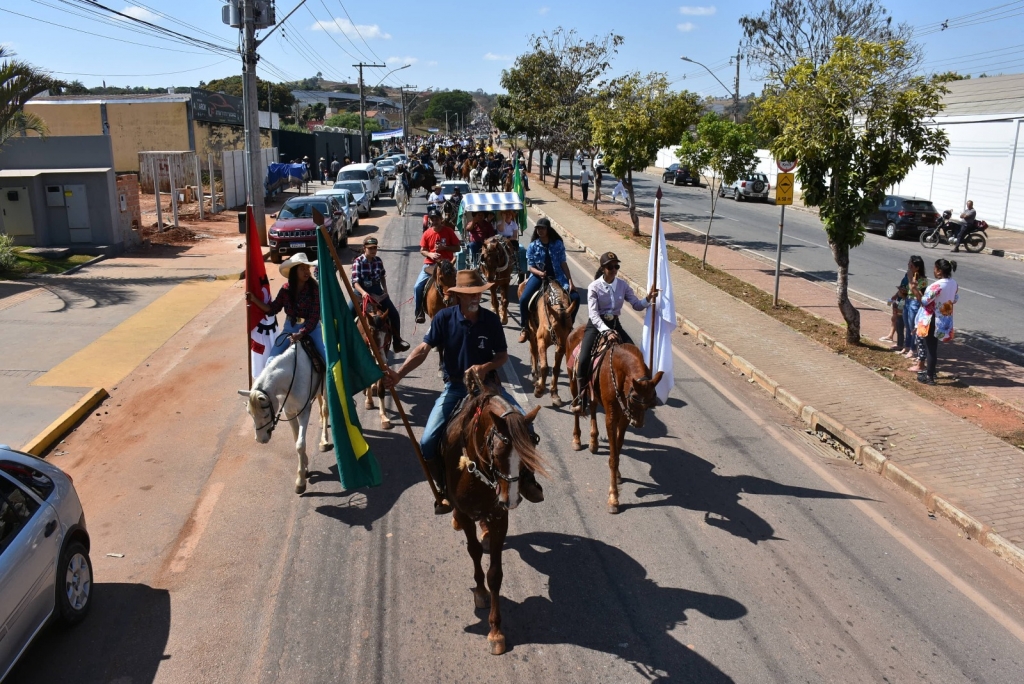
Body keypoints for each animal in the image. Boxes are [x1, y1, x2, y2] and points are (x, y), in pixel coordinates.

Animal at [237, 342, 329, 491]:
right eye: (250, 414)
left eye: (266, 414)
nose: (260, 439)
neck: (291, 378)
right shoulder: (289, 412)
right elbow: (296, 439)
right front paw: (305, 466)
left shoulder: (304, 412)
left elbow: (300, 444)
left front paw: (300, 480)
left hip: (326, 389)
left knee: (326, 410)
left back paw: (324, 441)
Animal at [438, 382, 544, 655]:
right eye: (496, 451)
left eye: (530, 451)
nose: (511, 499)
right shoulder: (468, 514)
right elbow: (474, 551)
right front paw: (481, 593)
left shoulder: (499, 517)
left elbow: (495, 574)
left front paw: (496, 631)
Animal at [569, 327, 663, 509]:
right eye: (634, 398)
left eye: (650, 402)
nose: (638, 423)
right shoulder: (611, 418)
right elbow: (613, 457)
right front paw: (613, 497)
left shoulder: (624, 418)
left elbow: (617, 450)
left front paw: (618, 475)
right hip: (573, 380)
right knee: (577, 409)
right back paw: (577, 439)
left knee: (592, 407)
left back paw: (593, 441)